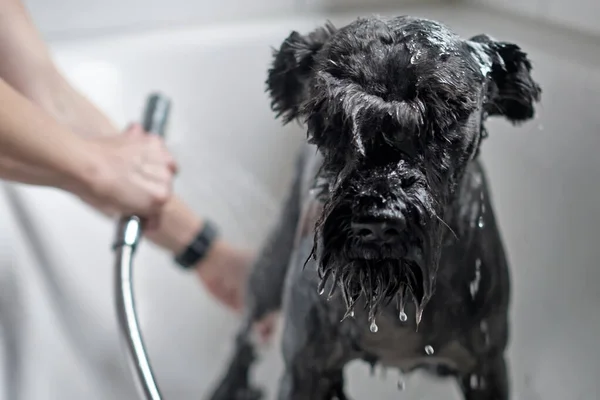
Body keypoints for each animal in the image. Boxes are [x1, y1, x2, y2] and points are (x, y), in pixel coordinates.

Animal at [206, 14, 540, 400]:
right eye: (330, 118)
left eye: (447, 113)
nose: (378, 220)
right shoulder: (305, 369)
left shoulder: (484, 369)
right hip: (270, 271)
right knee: (246, 334)